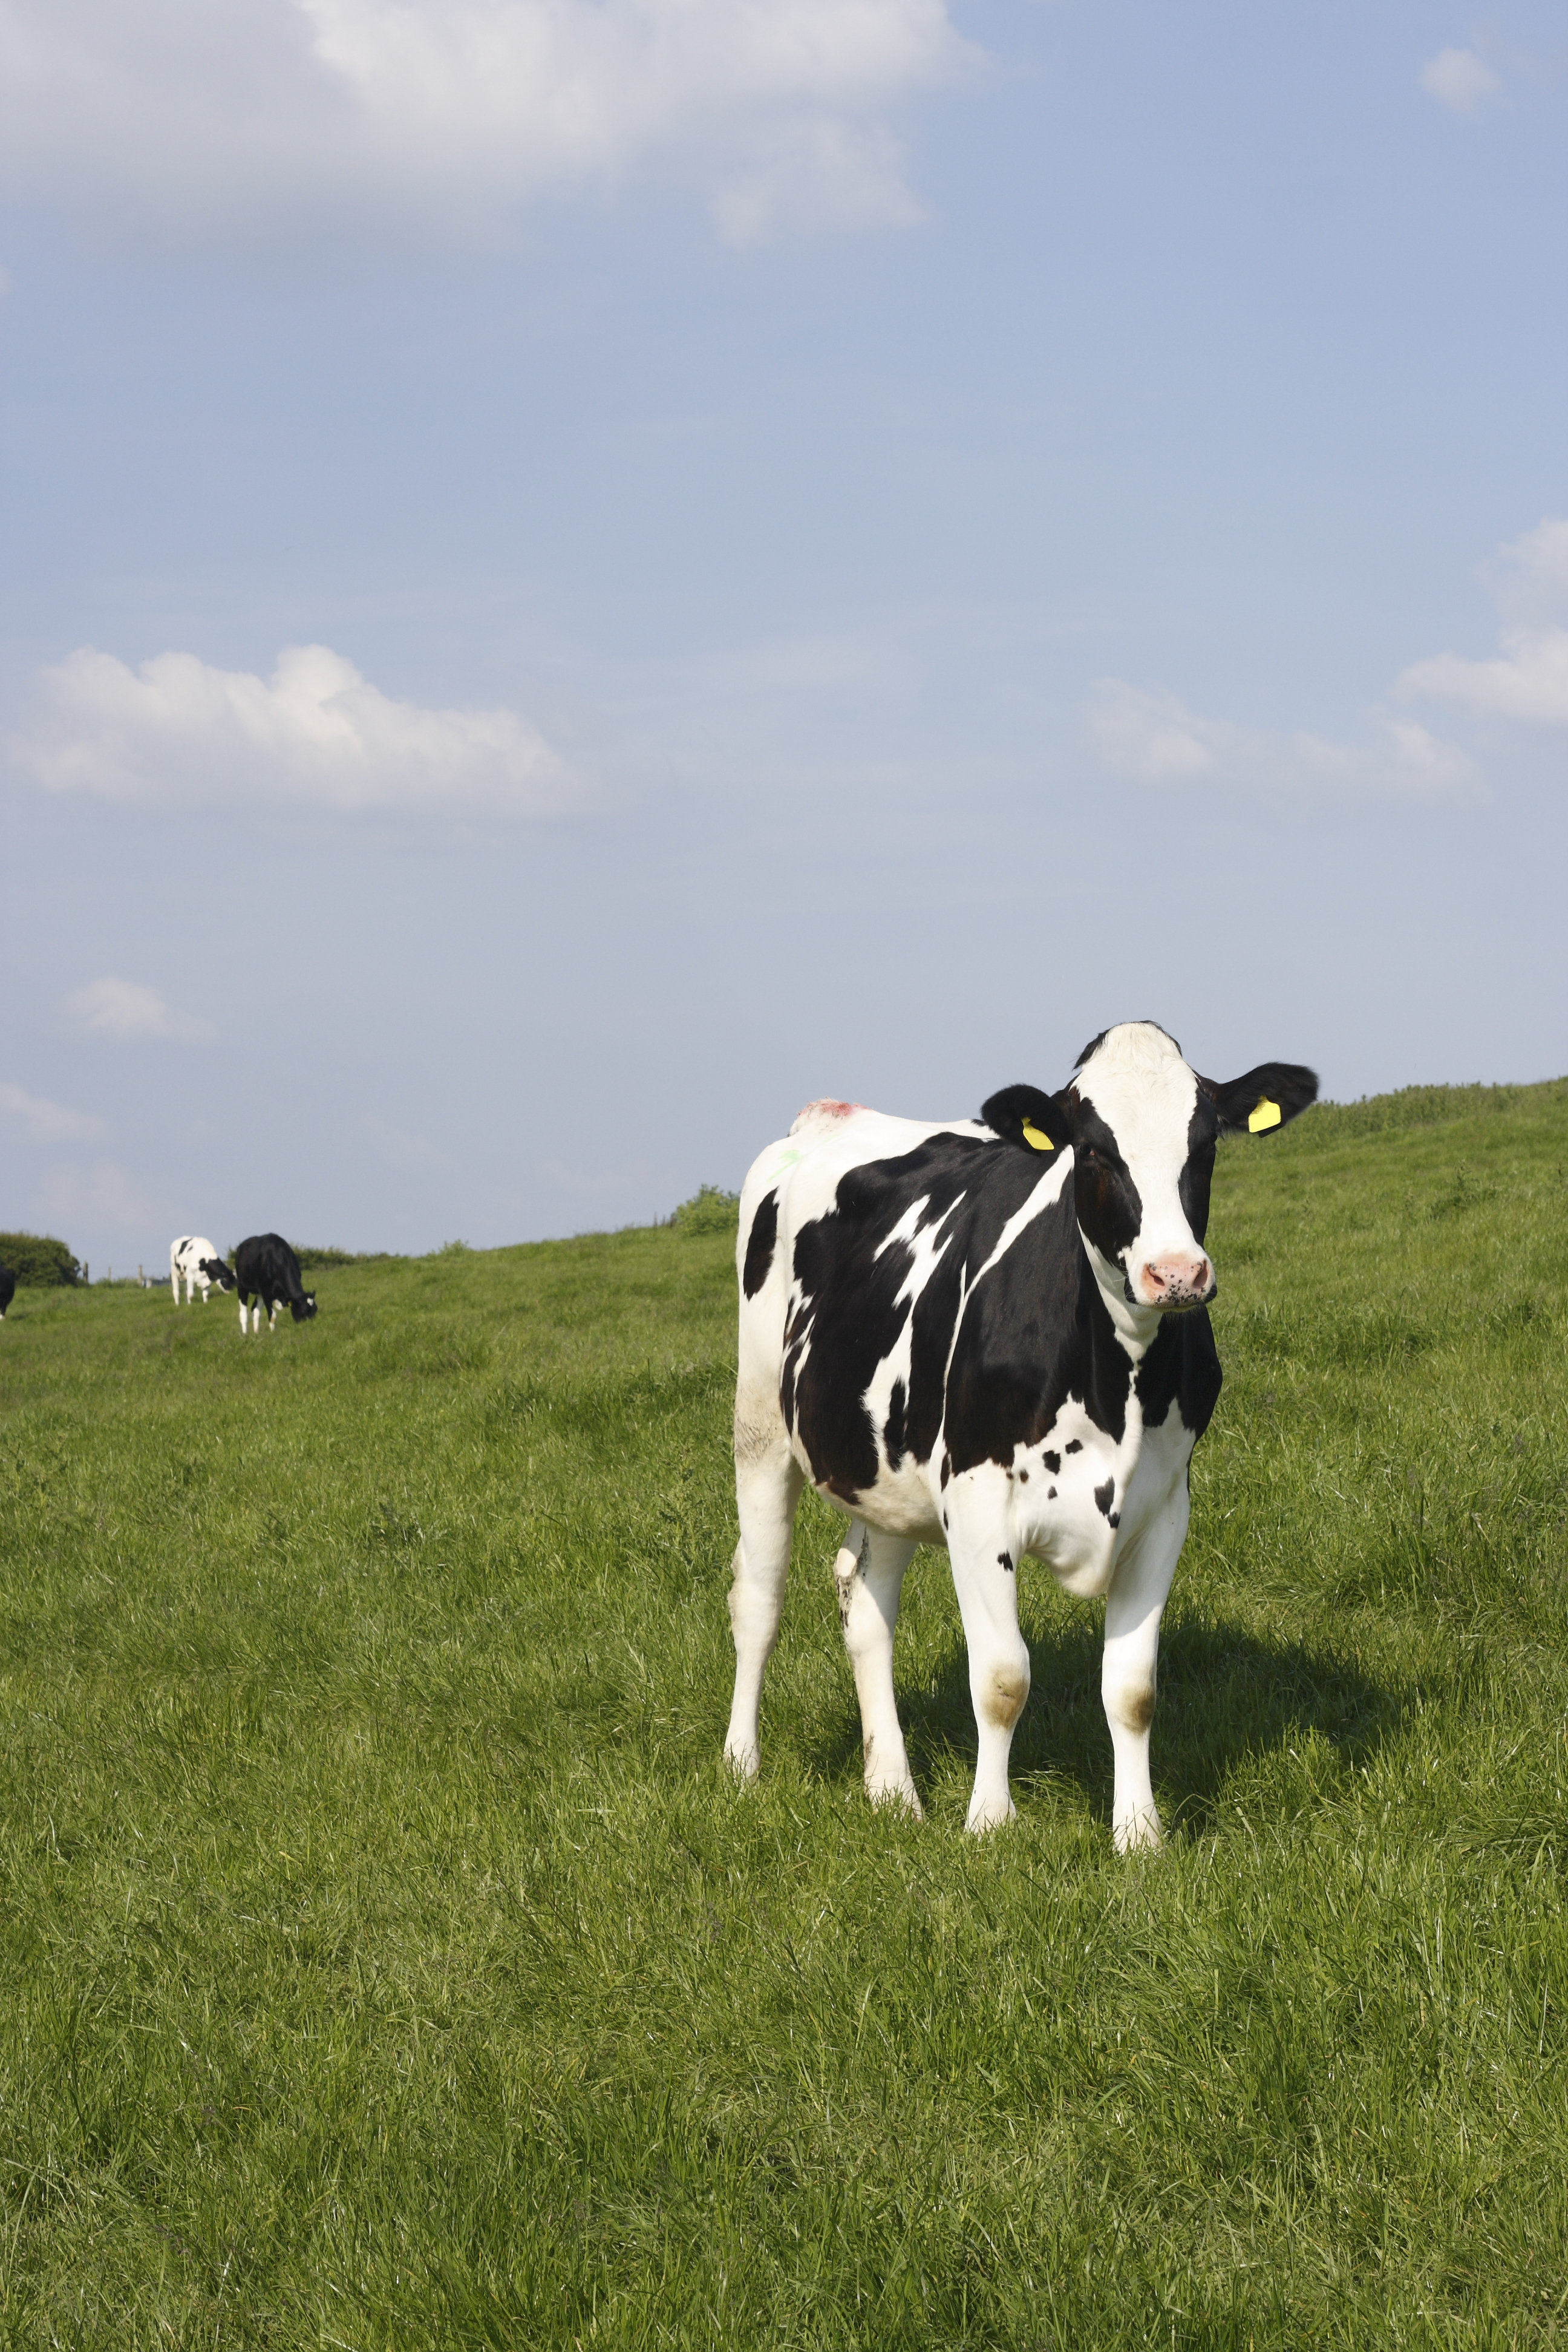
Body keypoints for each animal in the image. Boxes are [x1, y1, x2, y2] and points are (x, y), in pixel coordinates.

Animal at [233, 1233, 317, 1333]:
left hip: (259, 1292)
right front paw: (273, 1333)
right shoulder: (266, 1293)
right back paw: (245, 1334)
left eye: (315, 1310)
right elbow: (273, 1316)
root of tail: (241, 1246)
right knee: (243, 1313)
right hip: (242, 1286)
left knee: (255, 1310)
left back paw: (256, 1332)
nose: (310, 1327)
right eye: (303, 1311)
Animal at [723, 1021, 1318, 1851]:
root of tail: (830, 1114)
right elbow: (1003, 1679)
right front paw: (989, 1825)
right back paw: (742, 1766)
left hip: (889, 1465)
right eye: (1094, 1151)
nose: (1177, 1274)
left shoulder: (1164, 1509)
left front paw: (1139, 1835)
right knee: (759, 1595)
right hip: (761, 1424)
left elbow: (1133, 1690)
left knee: (865, 1599)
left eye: (1204, 1145)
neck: (1115, 1380)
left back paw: (892, 1790)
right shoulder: (976, 1504)